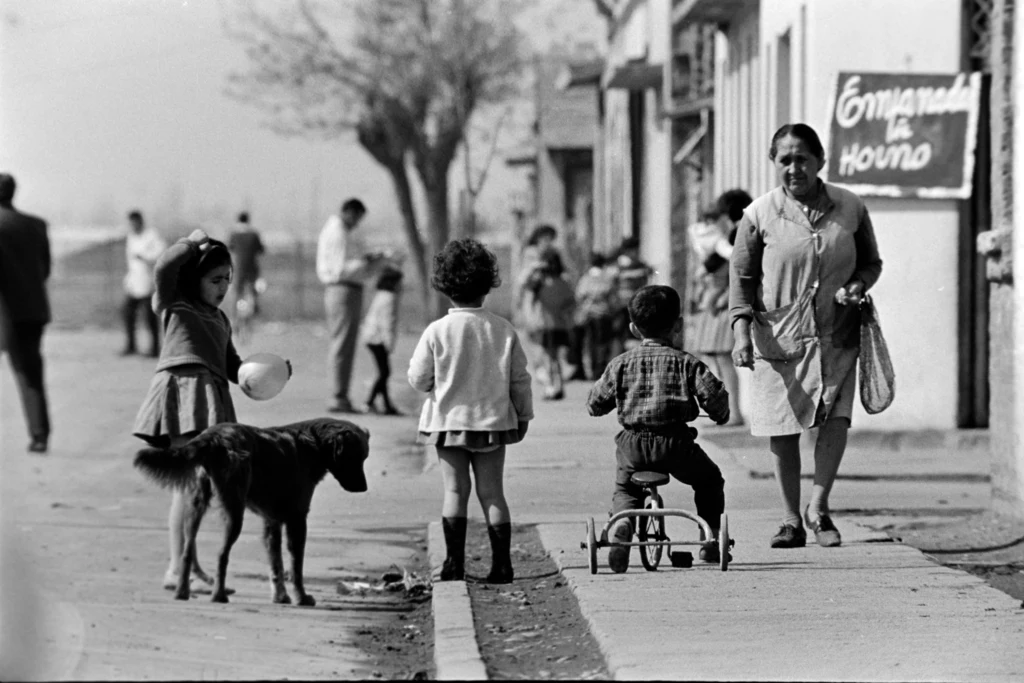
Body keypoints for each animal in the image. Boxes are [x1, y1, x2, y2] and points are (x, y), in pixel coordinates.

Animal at [134, 417, 370, 602]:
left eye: (364, 457)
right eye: (356, 457)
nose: (364, 488)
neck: (313, 445)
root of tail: (213, 436)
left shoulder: (272, 521)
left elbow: (276, 564)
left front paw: (280, 597)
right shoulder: (297, 519)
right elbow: (296, 566)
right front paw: (301, 597)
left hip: (195, 506)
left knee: (187, 551)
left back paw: (182, 592)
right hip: (234, 511)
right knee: (221, 554)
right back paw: (218, 595)